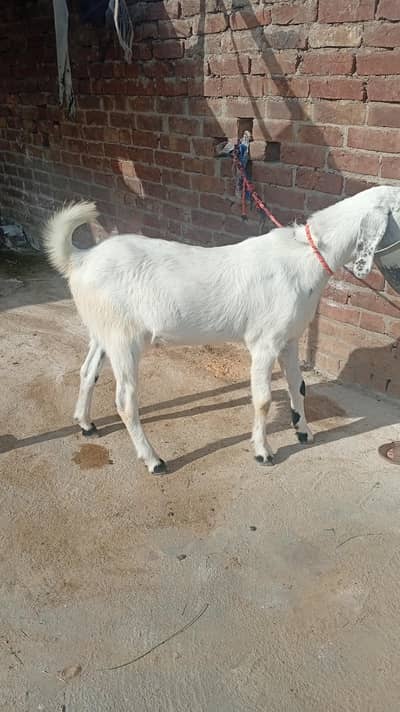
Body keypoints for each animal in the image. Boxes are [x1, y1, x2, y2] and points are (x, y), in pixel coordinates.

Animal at [43, 186, 400, 474]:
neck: (306, 257)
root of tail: (81, 259)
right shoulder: (264, 341)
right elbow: (263, 399)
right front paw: (263, 452)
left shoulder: (290, 339)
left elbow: (298, 386)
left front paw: (304, 432)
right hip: (124, 337)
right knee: (125, 400)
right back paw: (153, 460)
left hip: (102, 329)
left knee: (88, 371)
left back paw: (86, 423)